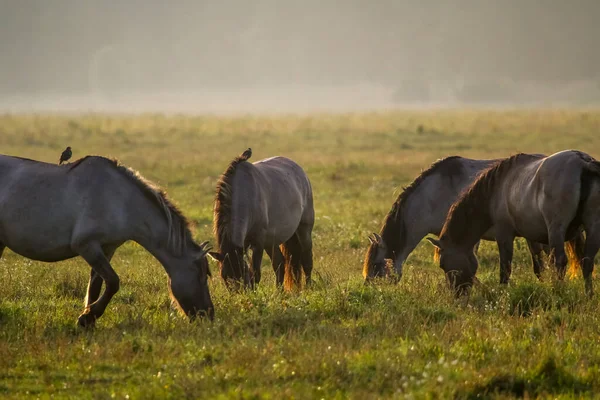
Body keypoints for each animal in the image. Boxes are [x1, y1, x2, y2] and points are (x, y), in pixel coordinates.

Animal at [0, 155, 213, 326]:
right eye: (201, 276)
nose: (209, 314)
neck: (120, 201)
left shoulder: (107, 248)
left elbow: (96, 286)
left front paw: (88, 320)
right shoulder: (87, 246)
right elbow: (113, 282)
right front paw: (89, 316)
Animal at [209, 148, 314, 290]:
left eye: (242, 273)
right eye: (224, 277)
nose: (239, 294)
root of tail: (300, 171)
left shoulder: (258, 244)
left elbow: (256, 274)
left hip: (304, 230)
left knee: (307, 260)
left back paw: (308, 288)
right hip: (271, 241)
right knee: (280, 263)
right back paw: (279, 292)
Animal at [426, 150, 600, 294]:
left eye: (443, 264)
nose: (456, 293)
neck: (495, 191)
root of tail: (583, 162)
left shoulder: (504, 235)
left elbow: (505, 268)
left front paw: (503, 293)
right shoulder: (531, 236)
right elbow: (538, 264)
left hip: (556, 230)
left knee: (560, 262)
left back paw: (559, 291)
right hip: (592, 228)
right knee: (587, 262)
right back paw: (588, 294)